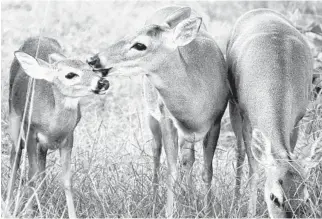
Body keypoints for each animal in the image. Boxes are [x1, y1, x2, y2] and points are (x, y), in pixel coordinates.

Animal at [6, 36, 109, 218]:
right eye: (70, 74)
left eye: (91, 68)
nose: (103, 82)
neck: (53, 126)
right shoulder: (30, 131)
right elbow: (31, 175)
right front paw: (27, 212)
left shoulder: (69, 137)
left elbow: (66, 180)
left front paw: (72, 215)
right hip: (14, 119)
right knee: (15, 156)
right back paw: (9, 203)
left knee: (41, 164)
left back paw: (41, 199)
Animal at [87, 5, 230, 217]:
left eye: (140, 45)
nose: (92, 59)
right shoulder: (166, 118)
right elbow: (171, 170)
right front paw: (170, 211)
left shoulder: (216, 122)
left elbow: (207, 170)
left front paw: (208, 210)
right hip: (151, 113)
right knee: (156, 151)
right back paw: (156, 199)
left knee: (187, 158)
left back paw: (189, 197)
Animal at [226, 8, 322, 217]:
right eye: (274, 198)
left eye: (305, 199)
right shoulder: (247, 118)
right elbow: (254, 168)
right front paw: (250, 212)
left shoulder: (297, 120)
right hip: (233, 105)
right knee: (239, 152)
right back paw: (235, 201)